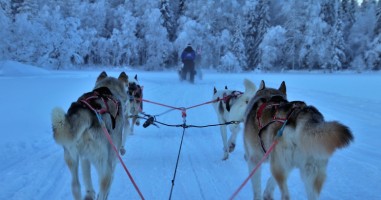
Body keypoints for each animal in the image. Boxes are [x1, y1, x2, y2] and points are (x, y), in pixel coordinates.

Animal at [51, 71, 128, 199]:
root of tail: (87, 113)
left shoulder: (84, 158)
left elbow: (87, 181)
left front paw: (89, 193)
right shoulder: (112, 157)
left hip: (71, 157)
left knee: (75, 187)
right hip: (104, 165)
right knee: (104, 185)